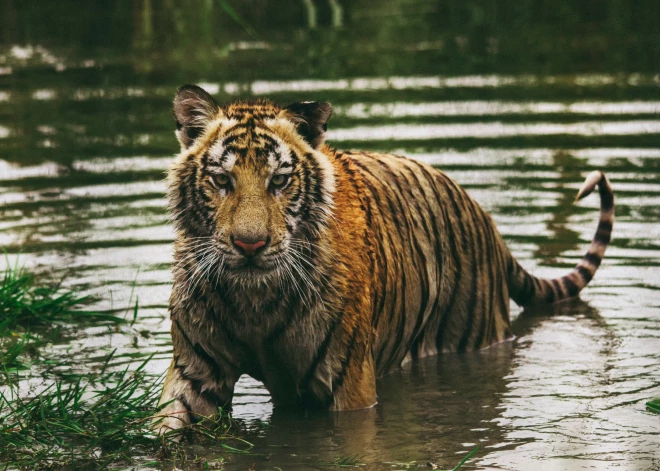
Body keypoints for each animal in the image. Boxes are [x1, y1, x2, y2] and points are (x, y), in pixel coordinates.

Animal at [155, 84, 612, 436]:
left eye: (280, 181)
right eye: (221, 180)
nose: (250, 245)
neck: (254, 302)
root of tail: (488, 222)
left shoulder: (347, 384)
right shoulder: (195, 373)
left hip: (474, 337)